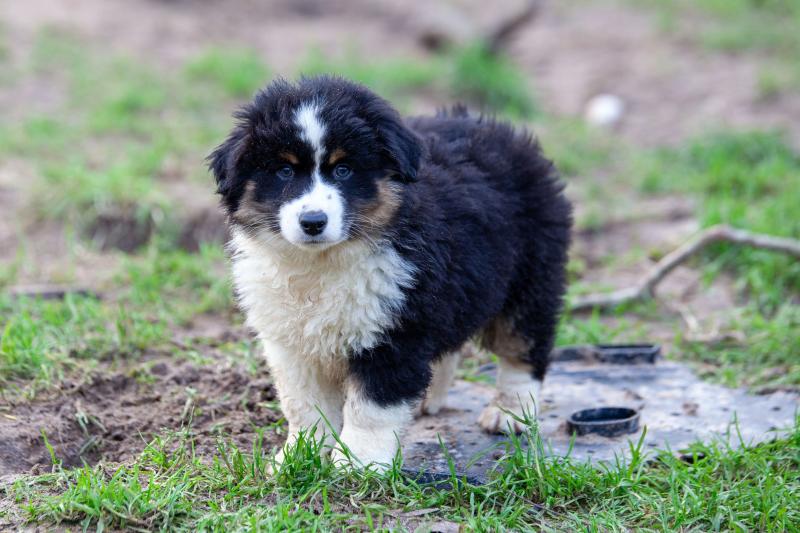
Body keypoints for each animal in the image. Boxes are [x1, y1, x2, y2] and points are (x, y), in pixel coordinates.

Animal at [209, 76, 572, 470]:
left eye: (343, 170)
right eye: (284, 171)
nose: (313, 222)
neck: (321, 264)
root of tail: (500, 131)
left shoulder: (394, 330)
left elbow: (372, 406)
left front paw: (358, 462)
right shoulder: (290, 342)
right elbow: (304, 404)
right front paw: (299, 457)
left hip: (531, 276)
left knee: (524, 347)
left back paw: (509, 413)